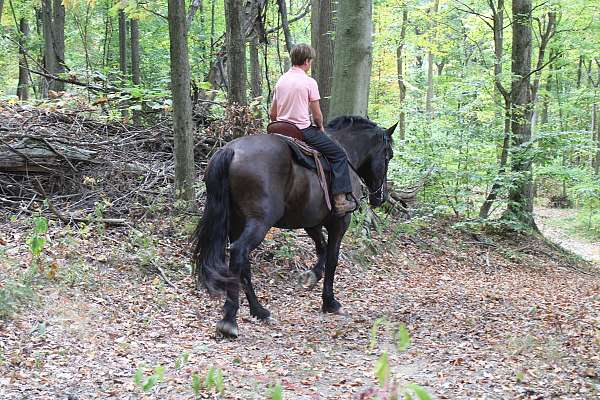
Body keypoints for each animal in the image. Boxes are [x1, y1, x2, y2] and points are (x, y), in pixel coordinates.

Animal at [195, 115, 396, 338]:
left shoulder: (310, 222)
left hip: (236, 222)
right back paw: (230, 320)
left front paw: (311, 276)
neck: (346, 150)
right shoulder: (340, 222)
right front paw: (330, 302)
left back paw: (259, 311)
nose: (381, 197)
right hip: (259, 222)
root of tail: (230, 150)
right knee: (239, 252)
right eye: (388, 156)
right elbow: (332, 258)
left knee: (242, 262)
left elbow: (322, 249)